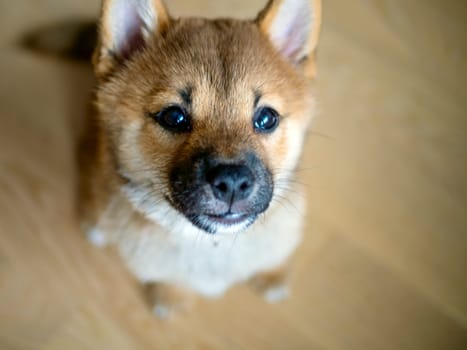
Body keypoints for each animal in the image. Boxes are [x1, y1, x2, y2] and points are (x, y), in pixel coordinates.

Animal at [79, 0, 322, 318]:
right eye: (173, 117)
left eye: (267, 118)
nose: (233, 182)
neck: (213, 245)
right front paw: (171, 295)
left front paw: (273, 275)